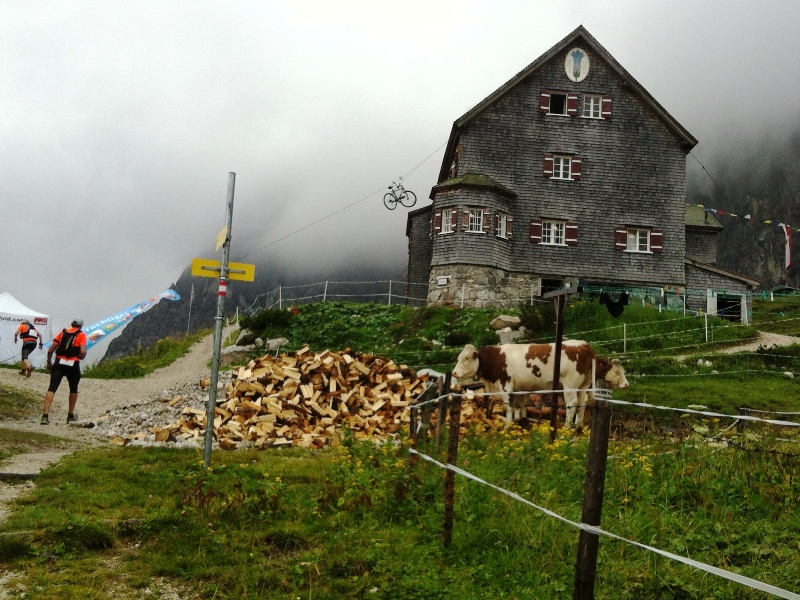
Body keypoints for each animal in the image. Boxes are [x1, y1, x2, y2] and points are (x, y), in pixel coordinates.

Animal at [451, 341, 629, 430]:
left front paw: (507, 426)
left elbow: (508, 406)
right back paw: (578, 426)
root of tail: (584, 345)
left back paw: (566, 427)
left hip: (570, 384)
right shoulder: (520, 388)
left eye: (466, 358)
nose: (454, 372)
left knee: (572, 404)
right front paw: (521, 421)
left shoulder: (506, 385)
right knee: (582, 403)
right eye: (458, 357)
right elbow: (519, 406)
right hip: (583, 385)